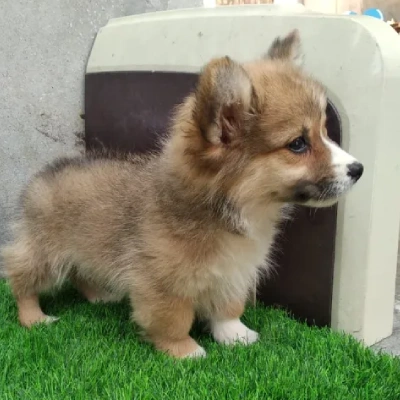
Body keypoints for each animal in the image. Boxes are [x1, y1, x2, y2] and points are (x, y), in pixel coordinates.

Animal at [1, 29, 362, 358]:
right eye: (298, 144)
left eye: (324, 132)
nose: (358, 169)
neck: (231, 212)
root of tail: (45, 173)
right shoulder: (163, 284)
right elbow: (174, 321)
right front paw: (185, 351)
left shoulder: (233, 273)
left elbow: (228, 308)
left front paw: (235, 335)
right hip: (46, 255)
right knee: (20, 279)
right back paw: (34, 317)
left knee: (79, 273)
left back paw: (99, 295)